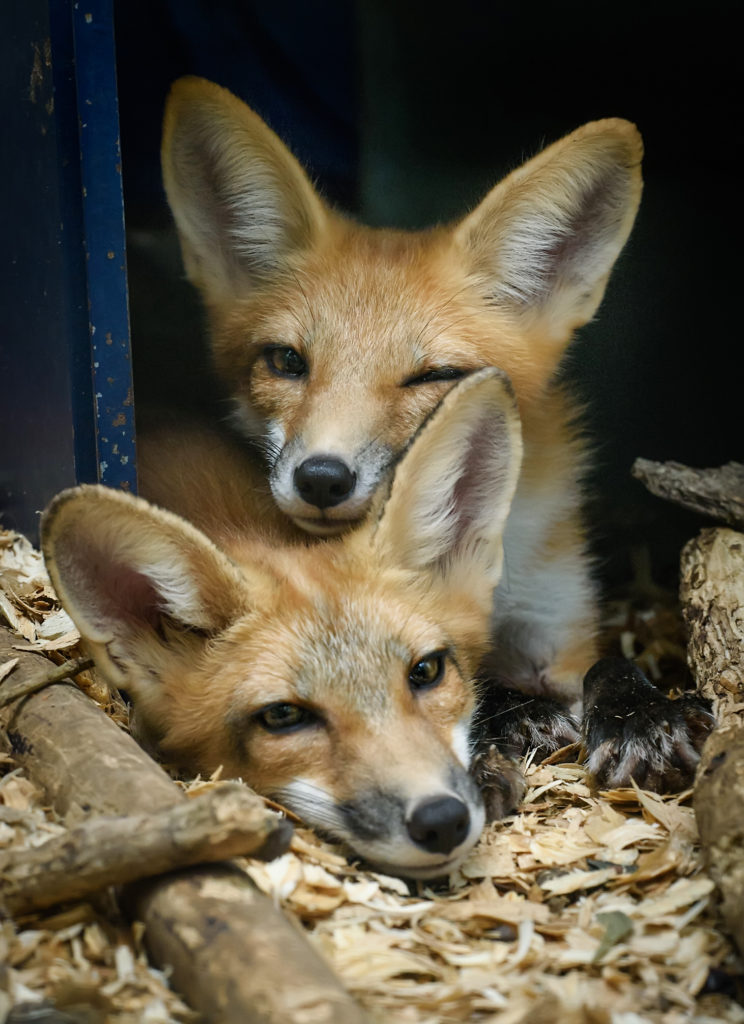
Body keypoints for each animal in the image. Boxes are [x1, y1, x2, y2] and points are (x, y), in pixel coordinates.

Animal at [156, 77, 713, 787]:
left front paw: (641, 715)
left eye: (432, 376)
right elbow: (465, 672)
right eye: (286, 361)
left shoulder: (558, 623)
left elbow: (609, 662)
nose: (321, 478)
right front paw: (517, 710)